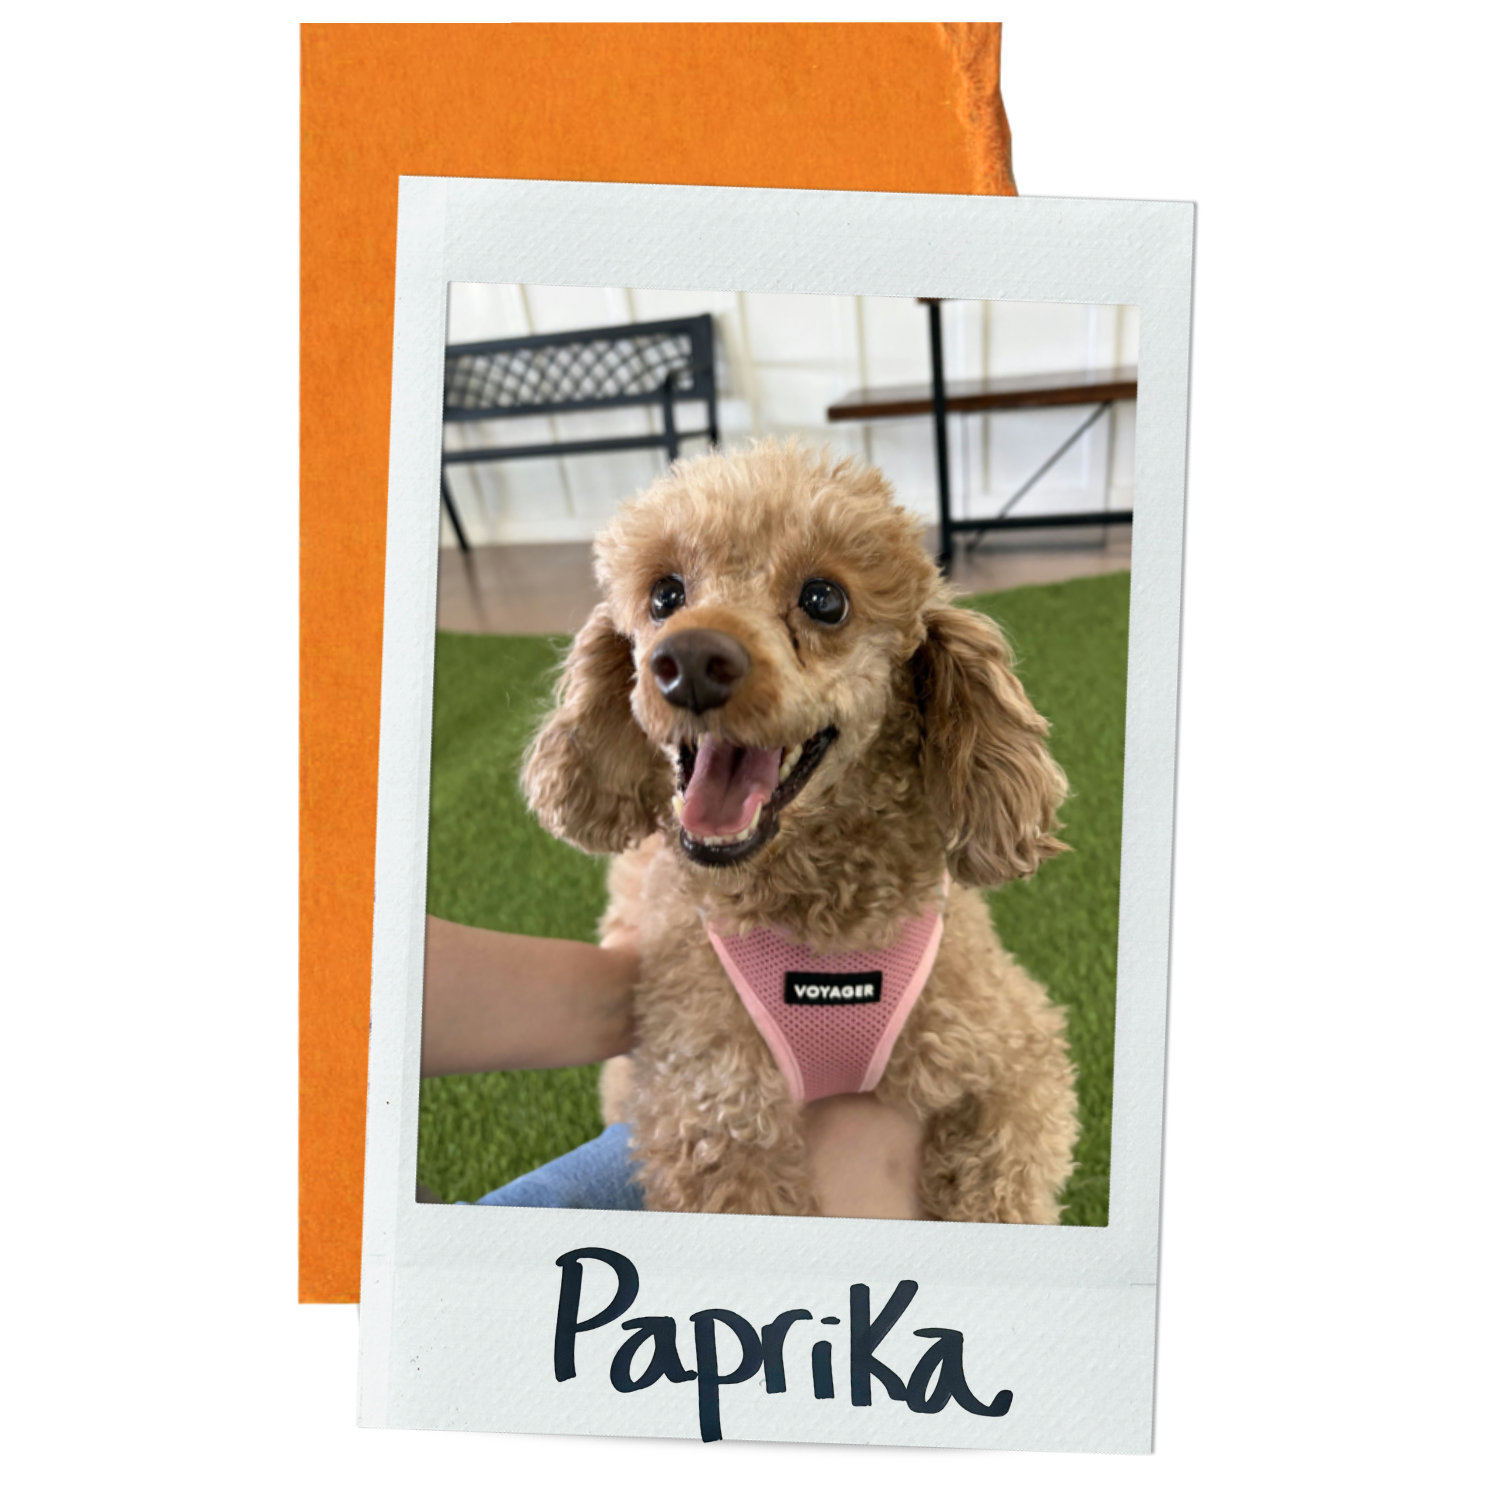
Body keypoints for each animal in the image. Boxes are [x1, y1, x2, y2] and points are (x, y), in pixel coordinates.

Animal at [522, 439, 1079, 1222]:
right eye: (665, 596)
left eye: (825, 600)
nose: (689, 661)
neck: (818, 918)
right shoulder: (714, 1115)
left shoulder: (1012, 1049)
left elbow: (1002, 1188)